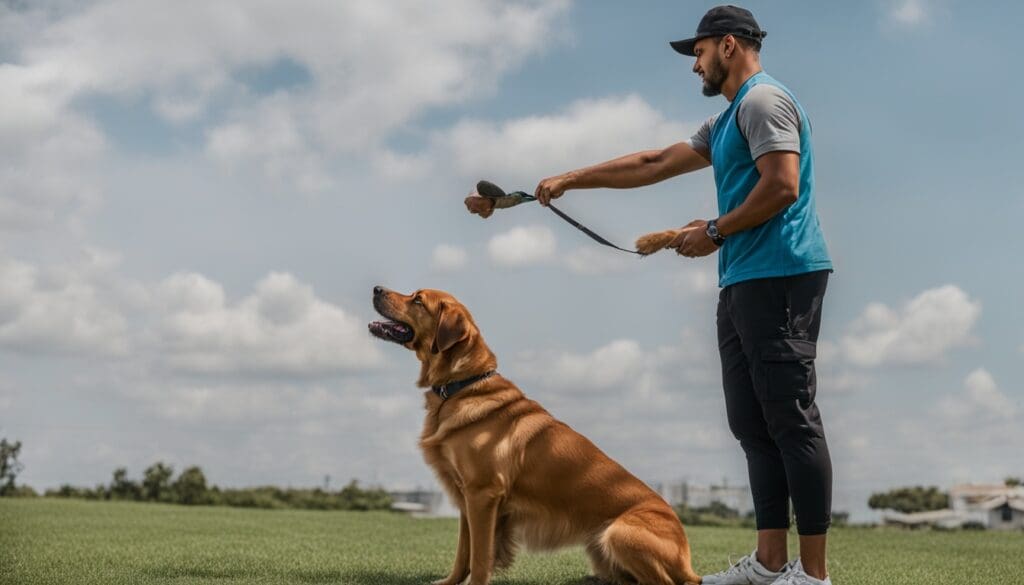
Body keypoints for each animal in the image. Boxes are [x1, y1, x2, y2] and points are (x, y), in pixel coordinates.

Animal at [364, 288, 700, 585]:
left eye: (418, 300)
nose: (377, 289)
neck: (462, 385)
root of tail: (687, 559)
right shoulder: (466, 498)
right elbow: (462, 555)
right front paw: (449, 582)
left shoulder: (483, 494)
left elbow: (480, 557)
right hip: (599, 545)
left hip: (618, 532)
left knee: (666, 582)